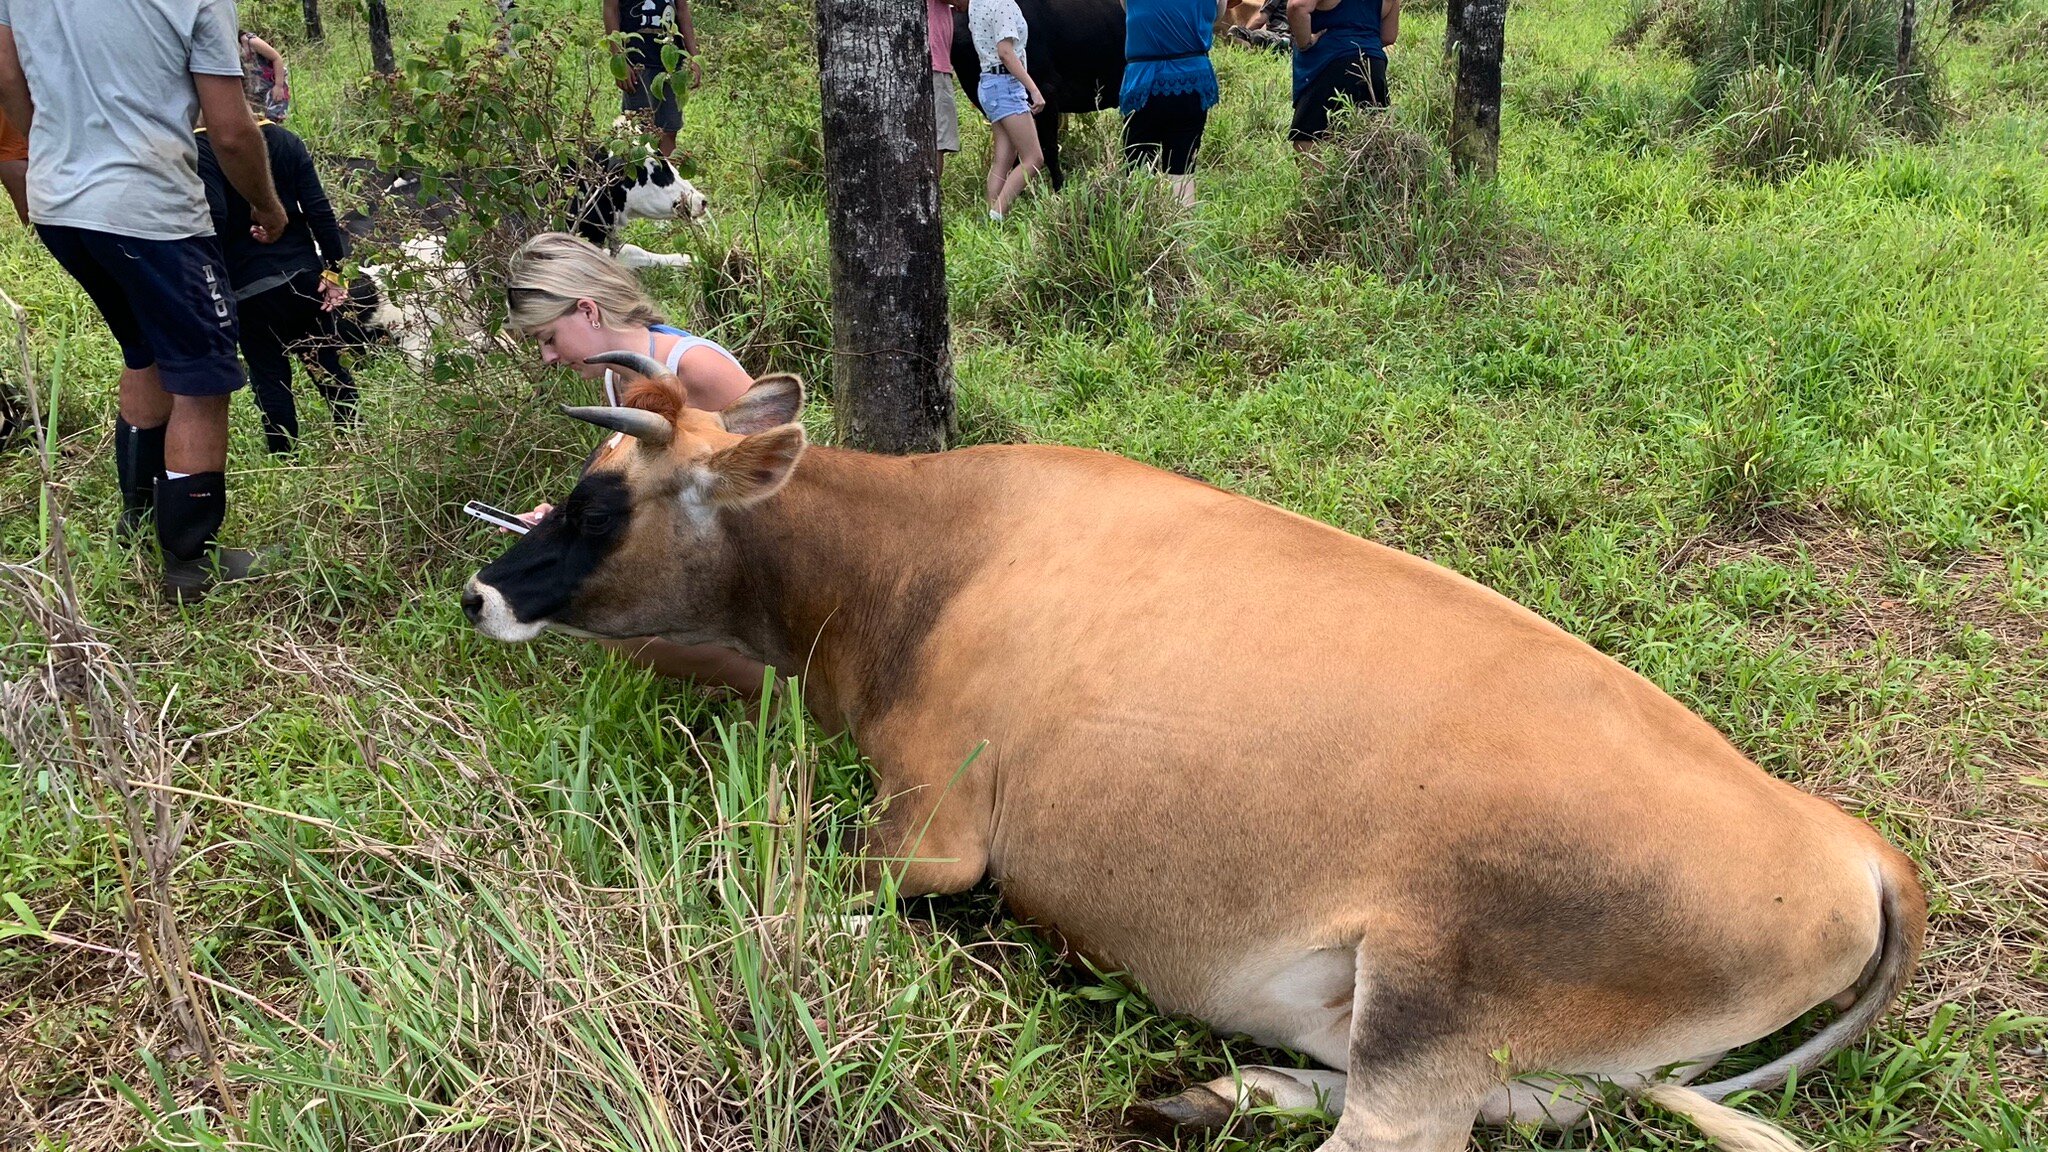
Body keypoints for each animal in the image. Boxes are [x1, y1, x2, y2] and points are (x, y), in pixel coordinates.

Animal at [464, 356, 1916, 1147]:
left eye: (596, 503)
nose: (479, 594)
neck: (923, 561)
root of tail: (1850, 847)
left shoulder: (934, 831)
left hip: (1438, 996)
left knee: (1398, 1131)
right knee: (1542, 1107)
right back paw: (1213, 1098)